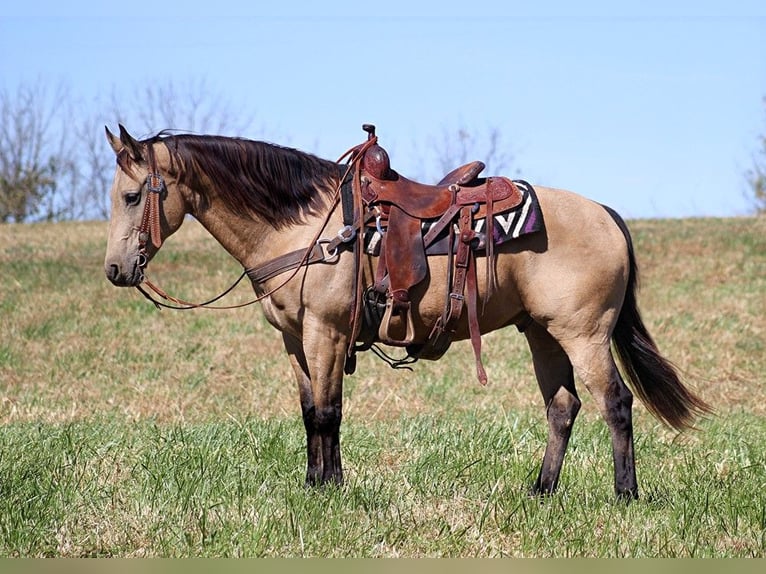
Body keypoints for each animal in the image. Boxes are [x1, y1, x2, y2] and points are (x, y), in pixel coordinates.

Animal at [105, 125, 712, 500]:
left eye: (133, 196)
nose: (115, 270)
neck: (307, 228)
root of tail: (606, 213)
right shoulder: (294, 340)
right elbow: (310, 410)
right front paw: (313, 483)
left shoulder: (326, 333)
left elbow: (328, 412)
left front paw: (330, 489)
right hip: (543, 334)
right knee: (563, 408)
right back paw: (541, 490)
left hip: (583, 334)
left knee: (616, 402)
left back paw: (625, 494)